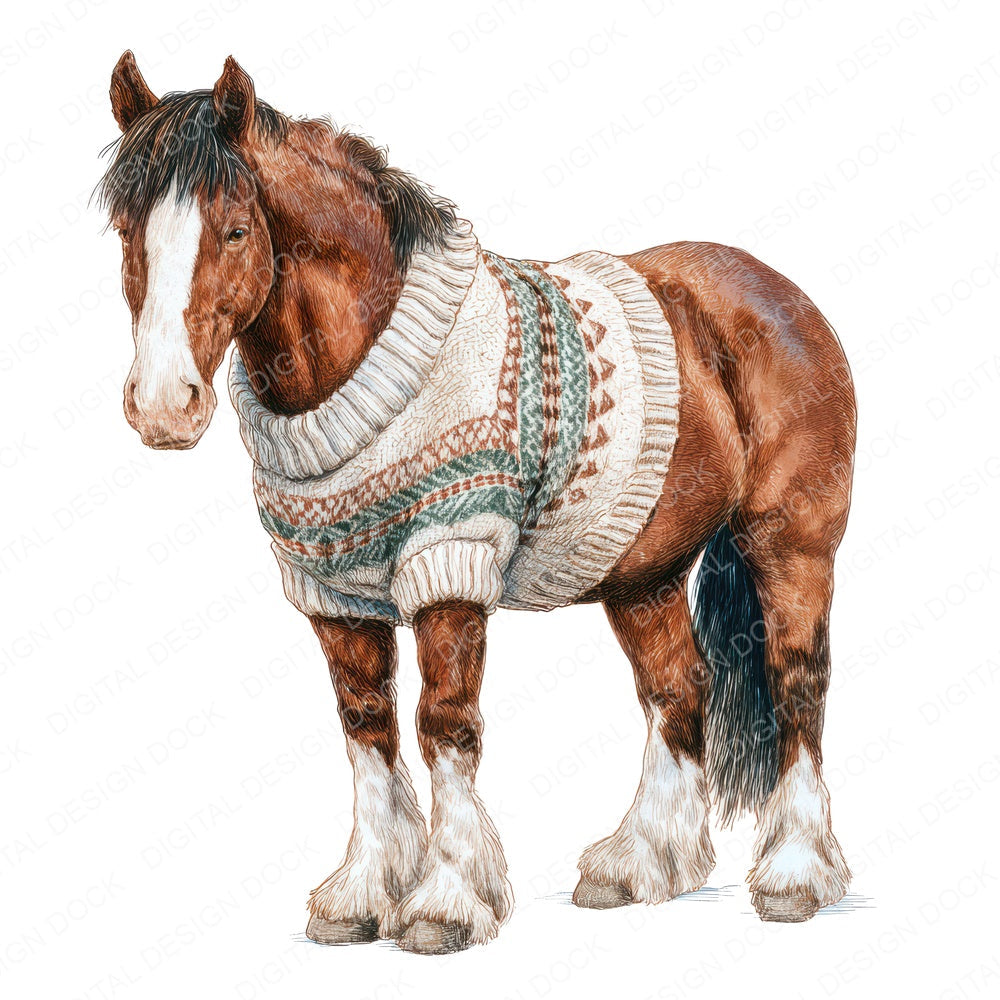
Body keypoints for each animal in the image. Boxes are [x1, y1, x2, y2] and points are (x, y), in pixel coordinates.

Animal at [99, 52, 857, 954]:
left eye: (236, 230)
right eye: (127, 233)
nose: (161, 405)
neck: (374, 359)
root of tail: (775, 293)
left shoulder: (449, 570)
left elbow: (445, 727)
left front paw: (446, 902)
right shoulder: (333, 597)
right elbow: (367, 730)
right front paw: (362, 896)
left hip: (791, 547)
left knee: (797, 685)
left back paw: (796, 876)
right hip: (645, 573)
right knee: (679, 690)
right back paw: (638, 864)